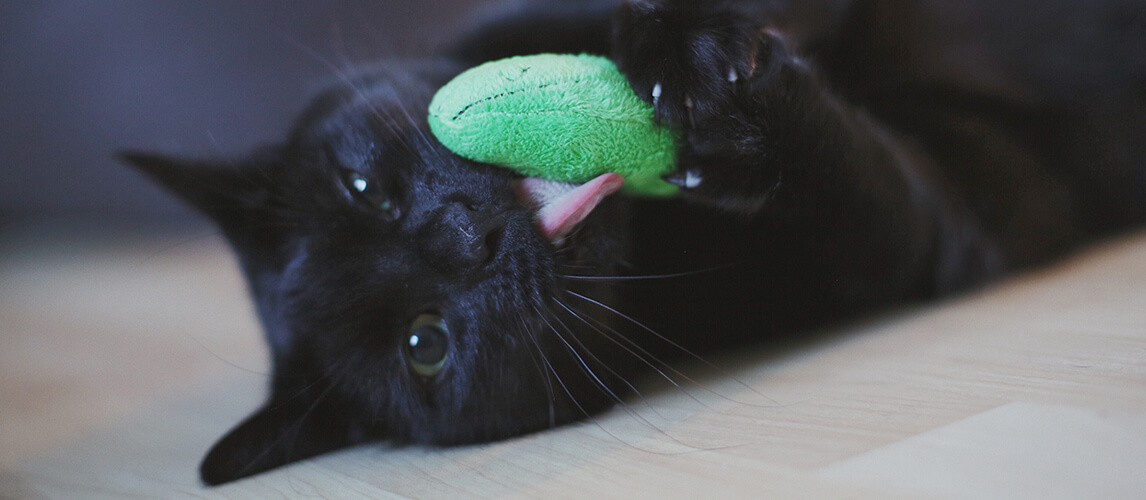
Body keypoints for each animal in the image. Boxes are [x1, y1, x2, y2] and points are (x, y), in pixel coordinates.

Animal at [125, 0, 1146, 483]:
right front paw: (728, 112)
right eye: (424, 345)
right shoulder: (943, 222)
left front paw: (684, 54)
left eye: (364, 189)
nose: (465, 236)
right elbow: (845, 173)